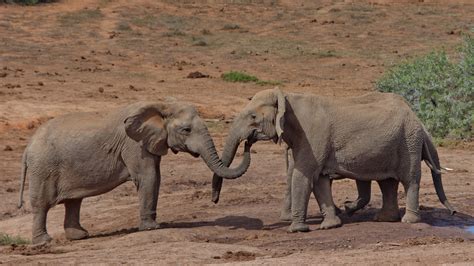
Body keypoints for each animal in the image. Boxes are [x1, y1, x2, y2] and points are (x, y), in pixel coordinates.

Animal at [19, 101, 254, 244]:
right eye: (186, 130)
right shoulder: (133, 145)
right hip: (43, 168)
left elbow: (154, 177)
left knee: (74, 201)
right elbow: (149, 177)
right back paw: (44, 242)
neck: (160, 104)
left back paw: (80, 236)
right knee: (42, 205)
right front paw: (153, 228)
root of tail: (27, 147)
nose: (249, 140)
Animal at [211, 88, 456, 233]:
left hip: (408, 143)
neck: (286, 96)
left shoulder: (312, 134)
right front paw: (330, 225)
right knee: (387, 182)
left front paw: (297, 230)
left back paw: (408, 221)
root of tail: (417, 118)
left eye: (253, 117)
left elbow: (303, 176)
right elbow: (318, 180)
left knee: (409, 180)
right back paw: (384, 219)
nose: (248, 143)